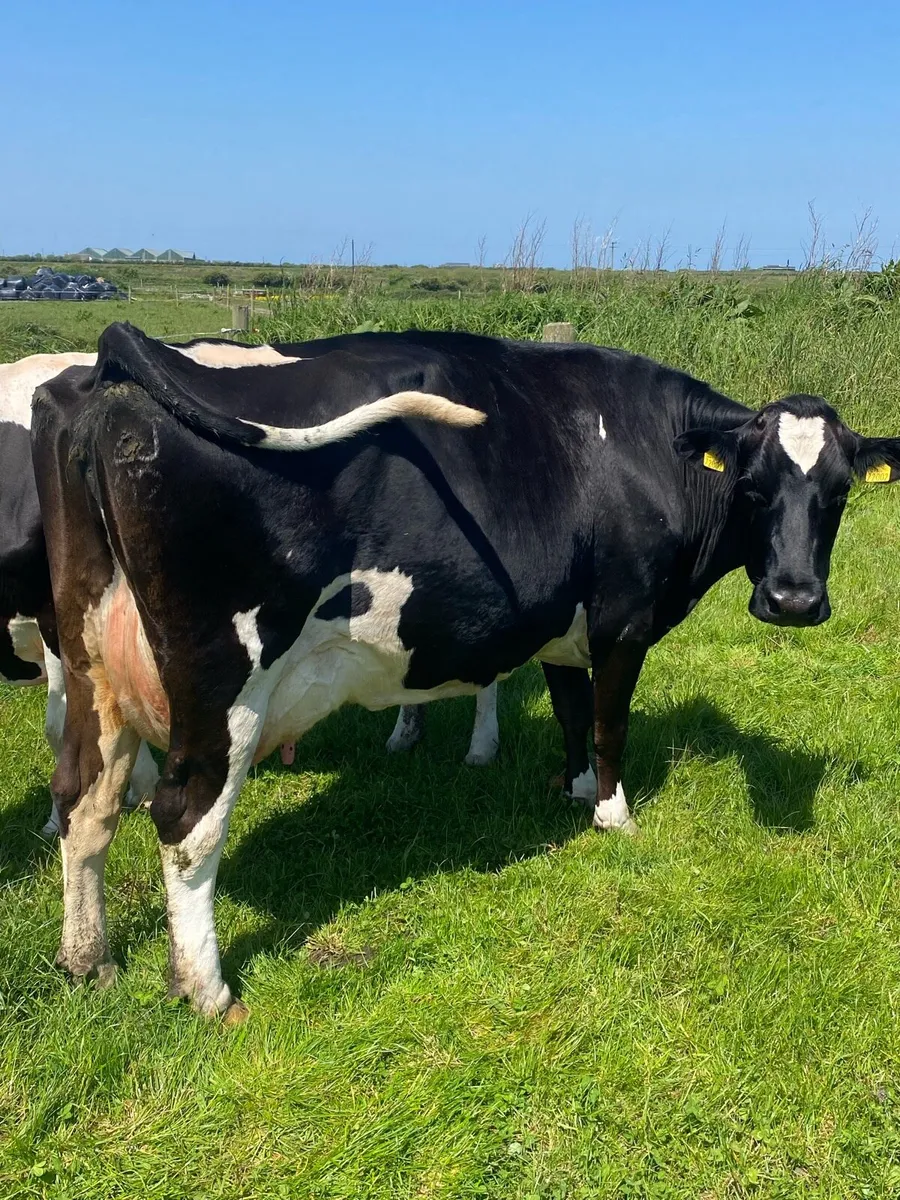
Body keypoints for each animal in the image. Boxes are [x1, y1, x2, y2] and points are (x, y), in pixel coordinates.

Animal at [32, 323, 900, 1021]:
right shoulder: (622, 620)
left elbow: (570, 709)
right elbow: (609, 719)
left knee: (83, 801)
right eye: (752, 486)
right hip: (225, 683)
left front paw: (573, 789)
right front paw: (614, 814)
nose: (793, 599)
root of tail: (115, 371)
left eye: (838, 493)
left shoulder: (561, 623)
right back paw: (207, 991)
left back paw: (88, 961)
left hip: (88, 666)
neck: (645, 447)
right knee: (185, 824)